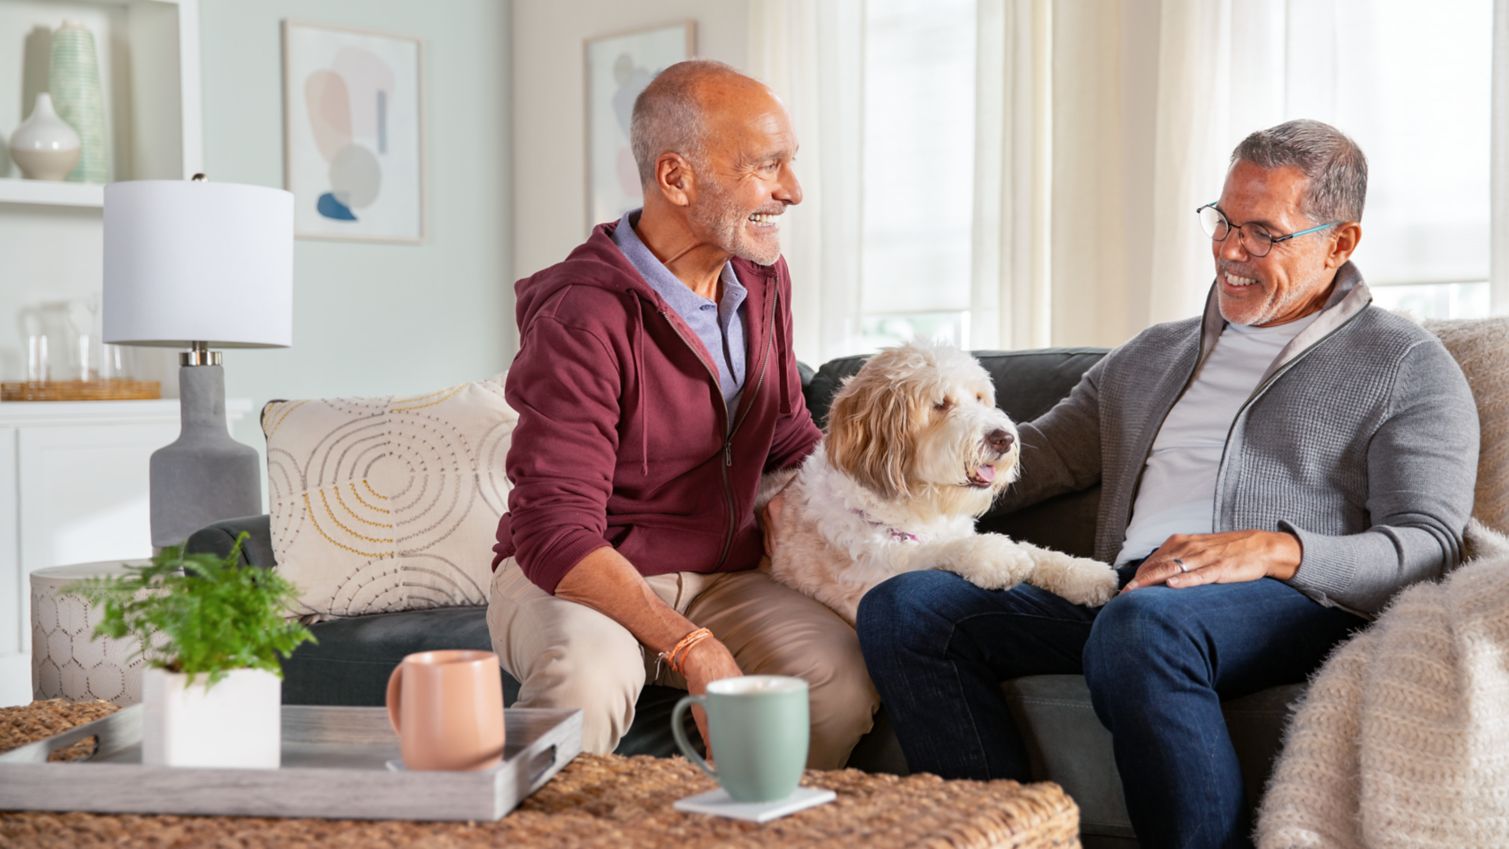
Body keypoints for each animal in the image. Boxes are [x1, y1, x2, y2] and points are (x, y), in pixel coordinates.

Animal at [766, 342, 1122, 627]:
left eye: (980, 398)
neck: (921, 507)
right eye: (940, 404)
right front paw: (996, 555)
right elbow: (932, 552)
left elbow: (1031, 549)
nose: (1004, 439)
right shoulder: (870, 576)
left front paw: (1082, 572)